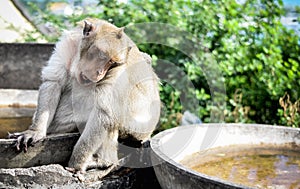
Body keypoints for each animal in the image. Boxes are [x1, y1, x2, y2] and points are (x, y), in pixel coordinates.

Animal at [8, 18, 161, 175]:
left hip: (135, 129)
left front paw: (76, 164)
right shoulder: (68, 44)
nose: (100, 72)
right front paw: (35, 131)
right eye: (102, 56)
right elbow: (54, 82)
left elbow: (104, 112)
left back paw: (104, 161)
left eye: (112, 63)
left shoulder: (120, 69)